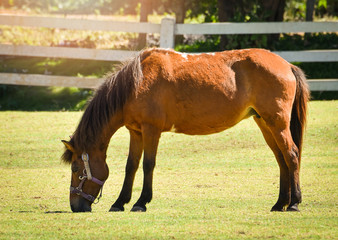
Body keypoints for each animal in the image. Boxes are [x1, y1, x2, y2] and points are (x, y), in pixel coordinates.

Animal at [60, 47, 308, 213]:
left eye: (75, 168)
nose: (75, 206)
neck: (136, 82)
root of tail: (286, 65)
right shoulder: (136, 132)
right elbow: (131, 166)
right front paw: (120, 202)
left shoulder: (151, 130)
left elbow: (148, 165)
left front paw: (141, 202)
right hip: (265, 124)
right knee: (281, 159)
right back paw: (280, 203)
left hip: (277, 124)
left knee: (292, 155)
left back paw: (294, 203)